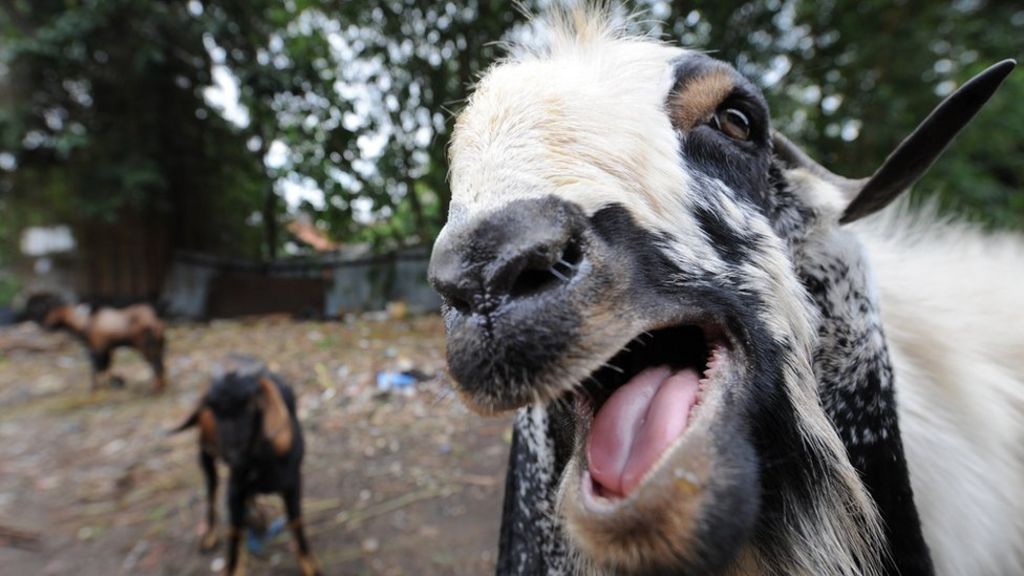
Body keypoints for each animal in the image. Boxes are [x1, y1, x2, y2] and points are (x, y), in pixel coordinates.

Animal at [22, 292, 166, 392]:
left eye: (50, 312)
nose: (44, 325)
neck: (86, 323)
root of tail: (155, 321)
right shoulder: (107, 349)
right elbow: (105, 368)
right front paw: (115, 382)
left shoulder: (97, 348)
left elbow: (96, 369)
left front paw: (95, 387)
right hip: (158, 345)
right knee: (161, 364)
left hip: (146, 346)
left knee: (157, 365)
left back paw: (155, 389)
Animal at [171, 356, 320, 576]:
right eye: (212, 407)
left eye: (250, 404)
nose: (230, 453)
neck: (261, 459)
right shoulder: (235, 487)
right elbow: (234, 531)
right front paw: (232, 569)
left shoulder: (293, 484)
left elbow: (296, 522)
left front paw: (309, 564)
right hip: (205, 457)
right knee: (212, 492)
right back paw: (211, 534)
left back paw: (255, 516)